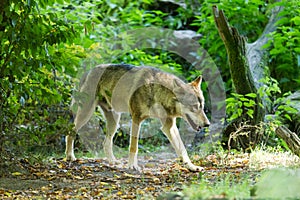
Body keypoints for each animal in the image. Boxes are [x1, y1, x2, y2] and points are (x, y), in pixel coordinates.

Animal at [65, 64, 211, 172]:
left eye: (202, 106)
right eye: (194, 106)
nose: (207, 124)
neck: (157, 92)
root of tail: (89, 71)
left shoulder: (169, 126)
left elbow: (183, 150)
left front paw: (192, 166)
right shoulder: (136, 118)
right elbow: (133, 147)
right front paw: (132, 166)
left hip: (114, 120)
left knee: (106, 142)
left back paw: (112, 161)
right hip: (86, 114)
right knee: (70, 132)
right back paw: (70, 156)